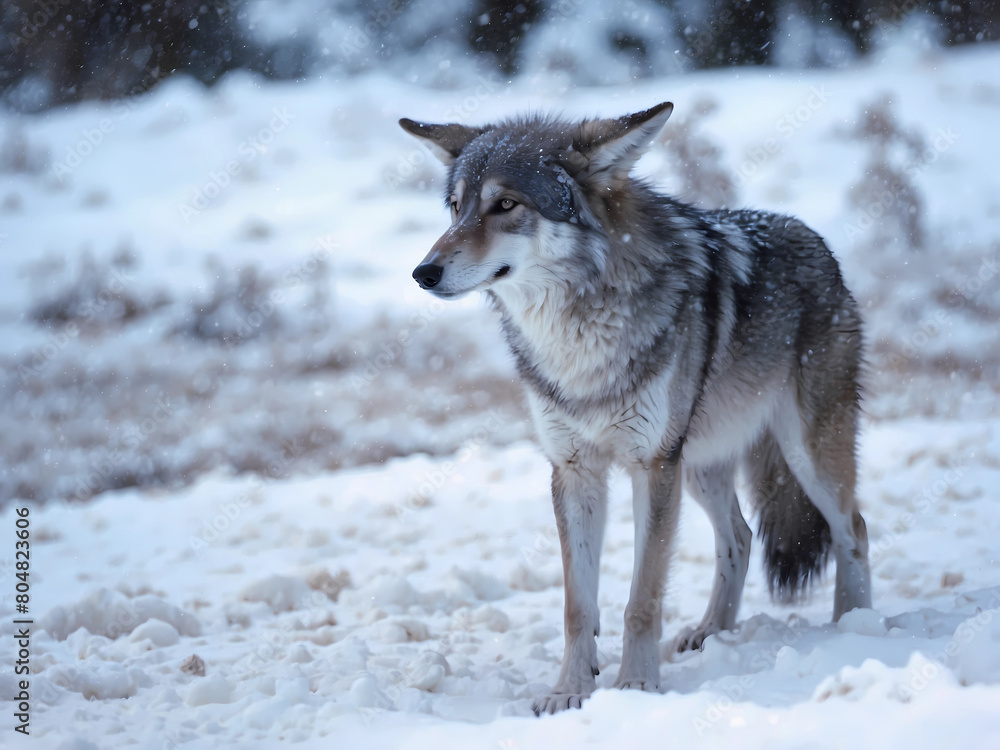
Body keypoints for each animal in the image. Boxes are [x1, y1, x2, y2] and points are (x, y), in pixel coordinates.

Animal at [400, 103, 872, 715]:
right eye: (456, 208)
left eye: (505, 205)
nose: (423, 272)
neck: (576, 341)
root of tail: (816, 240)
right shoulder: (575, 470)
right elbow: (578, 605)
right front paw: (569, 692)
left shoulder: (652, 466)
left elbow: (642, 598)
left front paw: (637, 687)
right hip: (698, 464)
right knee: (740, 537)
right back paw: (711, 632)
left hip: (801, 452)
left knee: (853, 528)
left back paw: (854, 628)